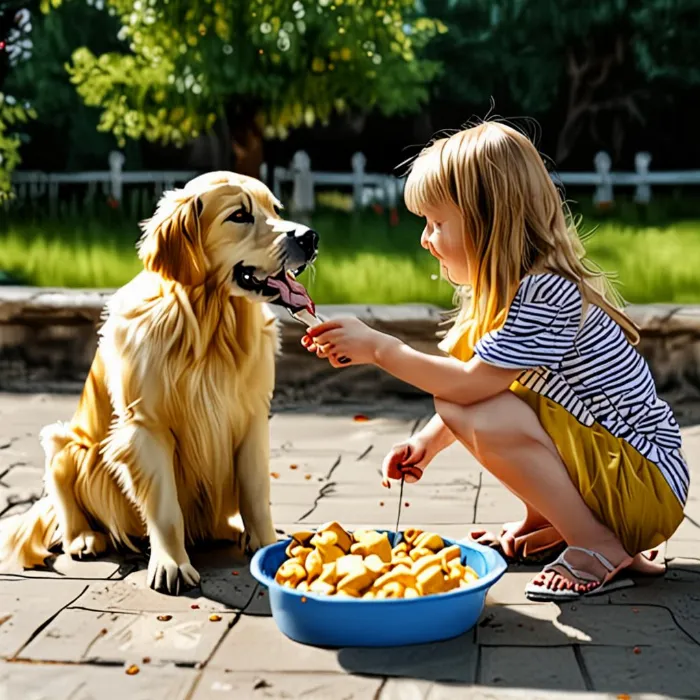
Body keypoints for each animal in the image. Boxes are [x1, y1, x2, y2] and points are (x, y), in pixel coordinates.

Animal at [0, 172, 318, 592]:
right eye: (240, 215)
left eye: (274, 210)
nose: (311, 237)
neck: (209, 325)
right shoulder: (146, 428)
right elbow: (165, 507)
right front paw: (172, 565)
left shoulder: (252, 418)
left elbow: (255, 492)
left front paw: (267, 546)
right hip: (66, 444)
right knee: (64, 500)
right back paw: (84, 538)